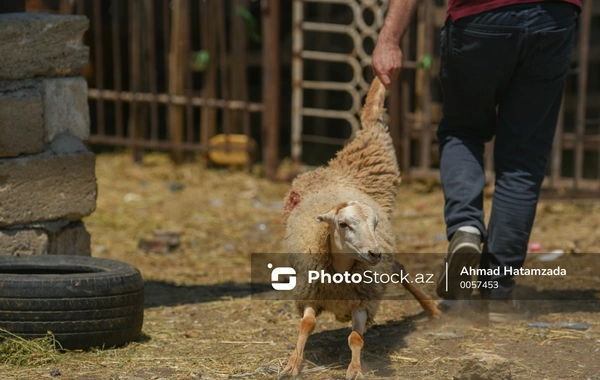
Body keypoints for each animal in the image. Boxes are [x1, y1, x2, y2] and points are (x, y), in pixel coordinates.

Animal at [282, 75, 440, 378]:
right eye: (343, 224)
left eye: (375, 223)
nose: (374, 253)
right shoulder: (310, 291)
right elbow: (306, 325)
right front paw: (292, 364)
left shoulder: (363, 302)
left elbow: (356, 338)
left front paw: (355, 369)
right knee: (398, 268)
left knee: (399, 269)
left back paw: (432, 310)